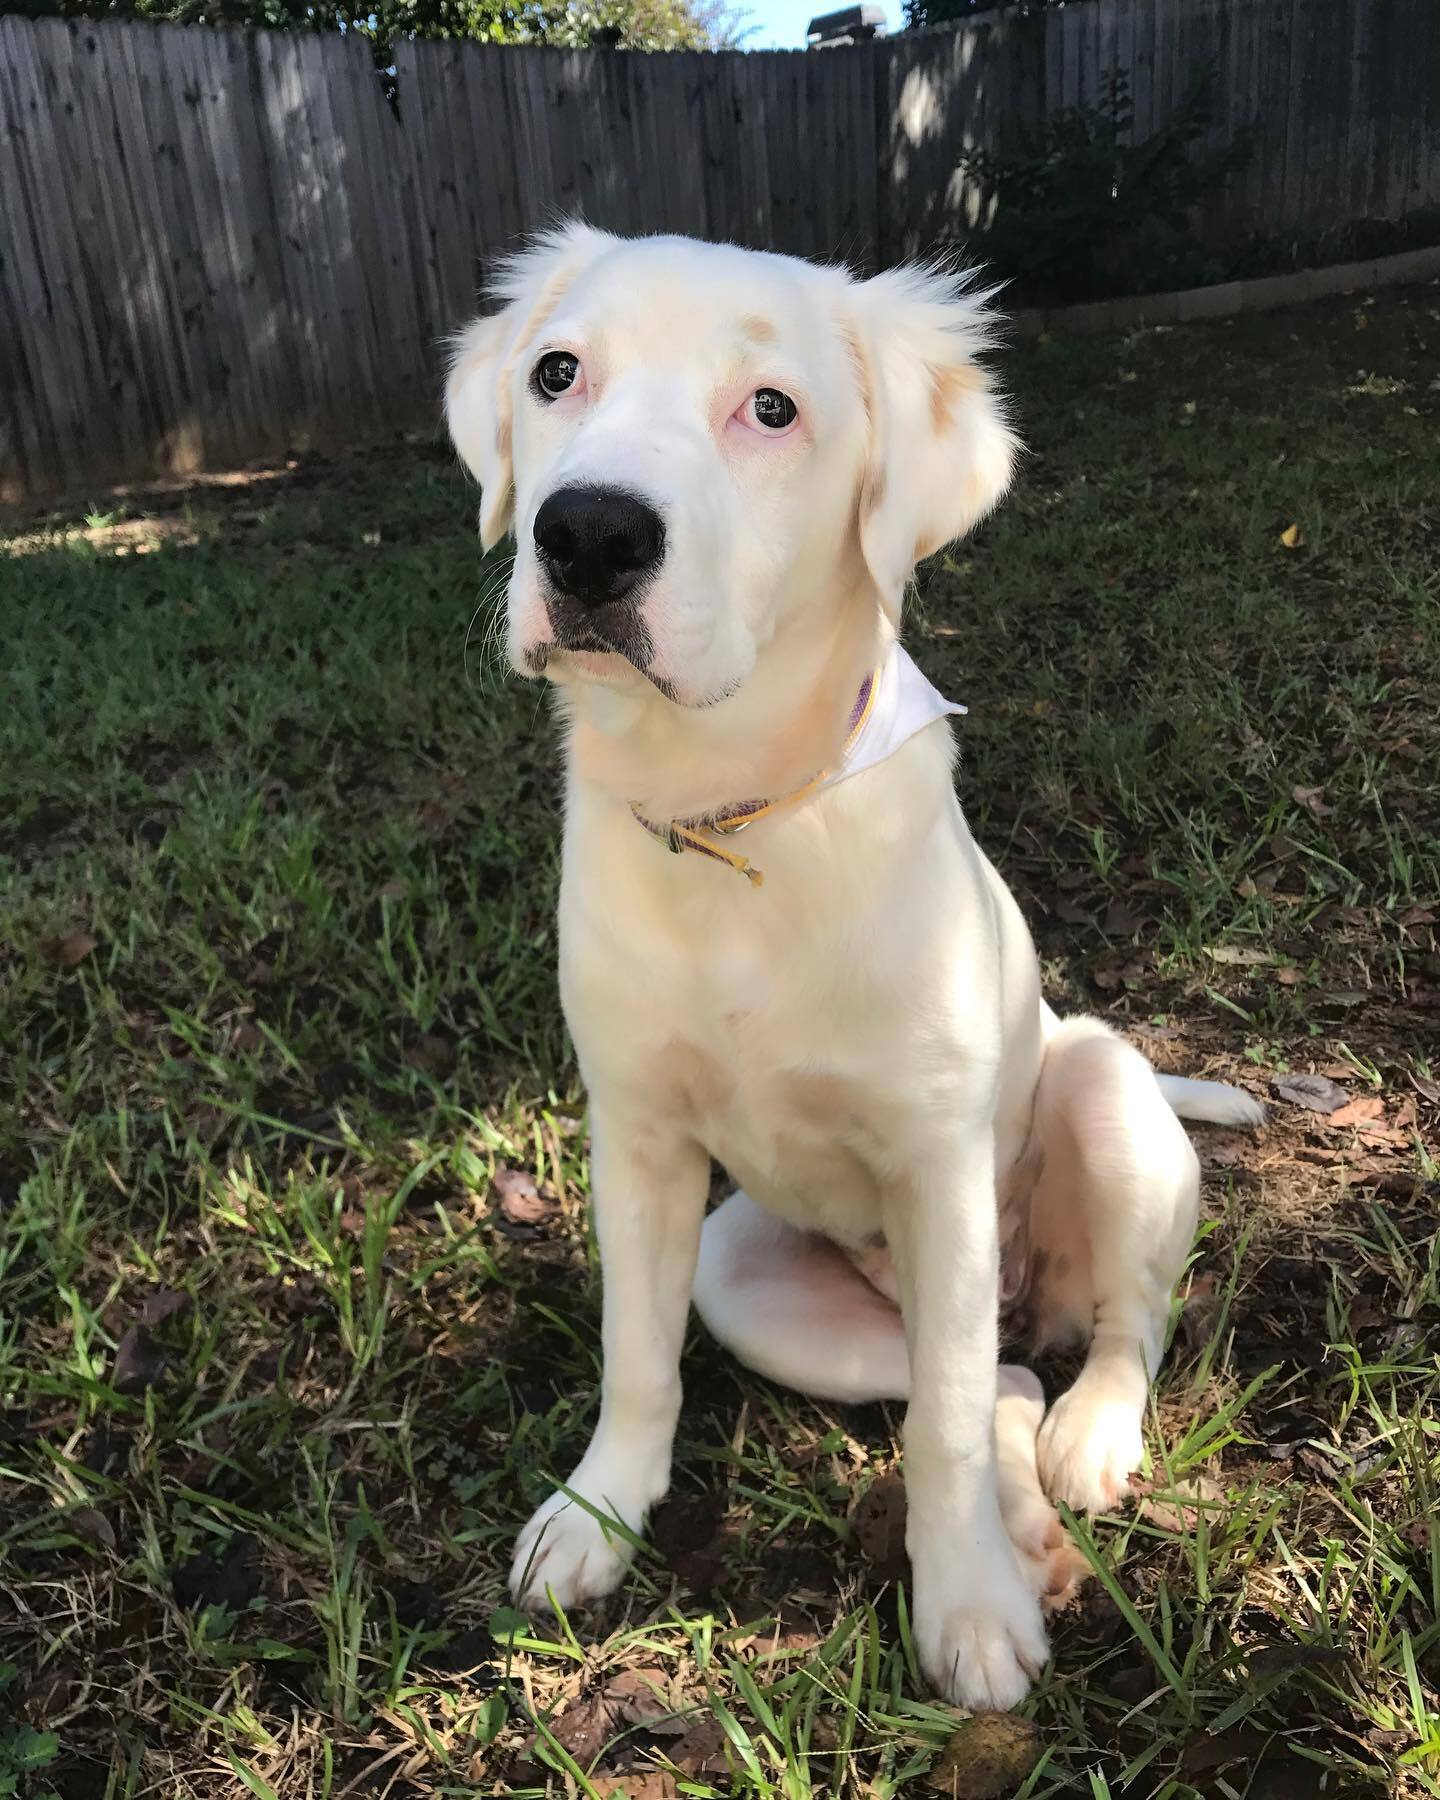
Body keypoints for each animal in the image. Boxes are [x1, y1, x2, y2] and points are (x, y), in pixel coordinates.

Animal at [446, 228, 1260, 1713]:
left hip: (1104, 1094)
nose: (585, 535)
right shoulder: (635, 1136)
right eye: (557, 374)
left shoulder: (939, 1165)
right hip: (752, 1276)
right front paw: (598, 1517)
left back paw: (1091, 1444)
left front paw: (971, 1612)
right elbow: (637, 1357)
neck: (732, 818)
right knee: (993, 1380)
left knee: (1108, 1331)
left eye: (771, 408)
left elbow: (942, 1427)